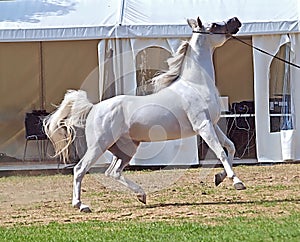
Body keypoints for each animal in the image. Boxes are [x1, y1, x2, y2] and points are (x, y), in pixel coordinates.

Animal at [45, 16, 246, 212]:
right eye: (214, 25)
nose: (236, 20)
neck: (195, 85)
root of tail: (93, 108)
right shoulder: (203, 126)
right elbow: (220, 152)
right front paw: (237, 182)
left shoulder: (212, 125)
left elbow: (230, 147)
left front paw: (219, 177)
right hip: (99, 145)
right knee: (80, 169)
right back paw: (81, 205)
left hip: (126, 149)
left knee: (113, 172)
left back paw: (141, 195)